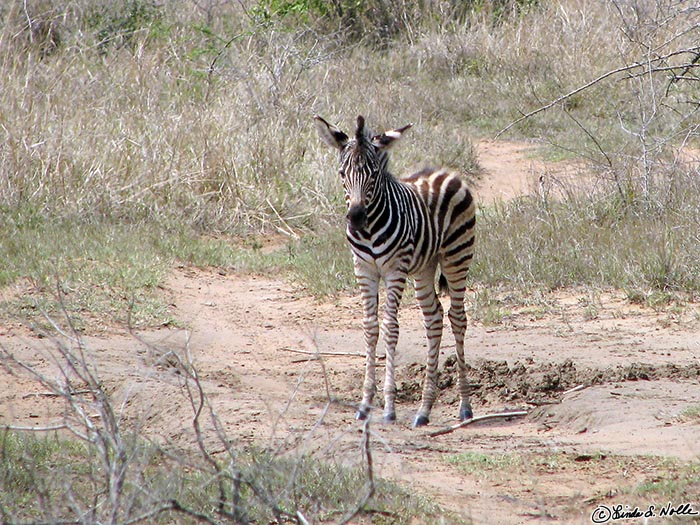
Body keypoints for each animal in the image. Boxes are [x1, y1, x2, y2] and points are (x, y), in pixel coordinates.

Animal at [316, 114, 476, 426]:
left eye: (374, 174)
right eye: (342, 173)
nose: (355, 218)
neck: (369, 230)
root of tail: (447, 172)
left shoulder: (394, 269)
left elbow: (390, 327)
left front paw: (389, 407)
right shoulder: (363, 270)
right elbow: (370, 327)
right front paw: (365, 404)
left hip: (457, 256)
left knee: (457, 317)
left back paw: (465, 407)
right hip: (425, 267)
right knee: (434, 318)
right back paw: (424, 410)